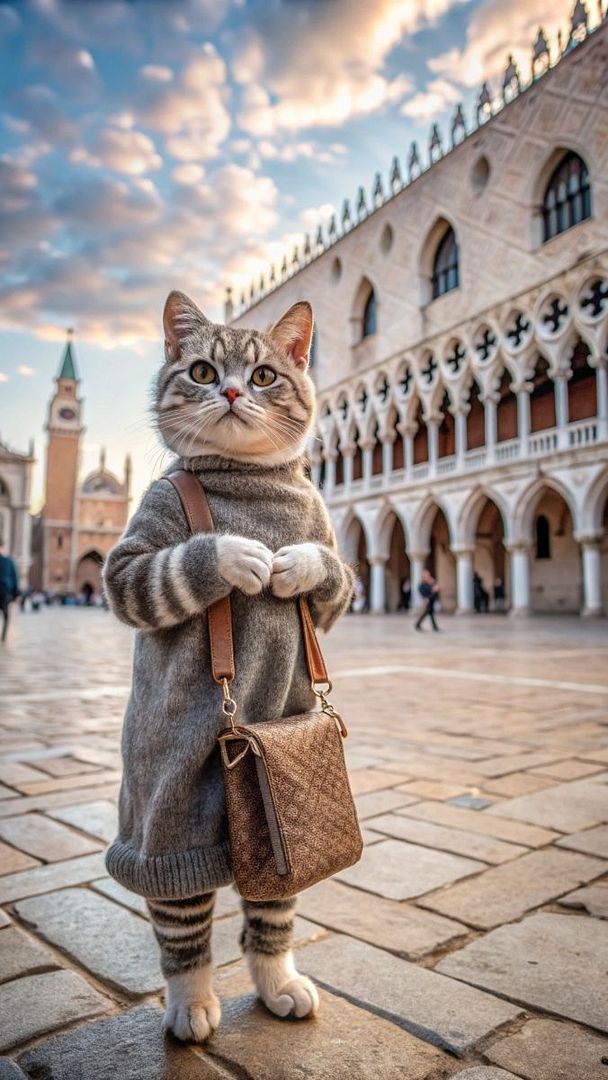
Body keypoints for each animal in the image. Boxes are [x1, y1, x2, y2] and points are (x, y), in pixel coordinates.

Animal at [103, 291, 354, 1041]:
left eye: (266, 374)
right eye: (204, 371)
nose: (236, 391)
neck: (251, 481)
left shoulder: (330, 544)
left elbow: (333, 579)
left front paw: (297, 565)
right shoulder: (144, 536)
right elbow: (143, 576)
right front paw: (233, 554)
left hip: (270, 851)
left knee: (269, 909)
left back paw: (279, 984)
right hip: (169, 813)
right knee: (181, 915)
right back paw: (190, 1004)